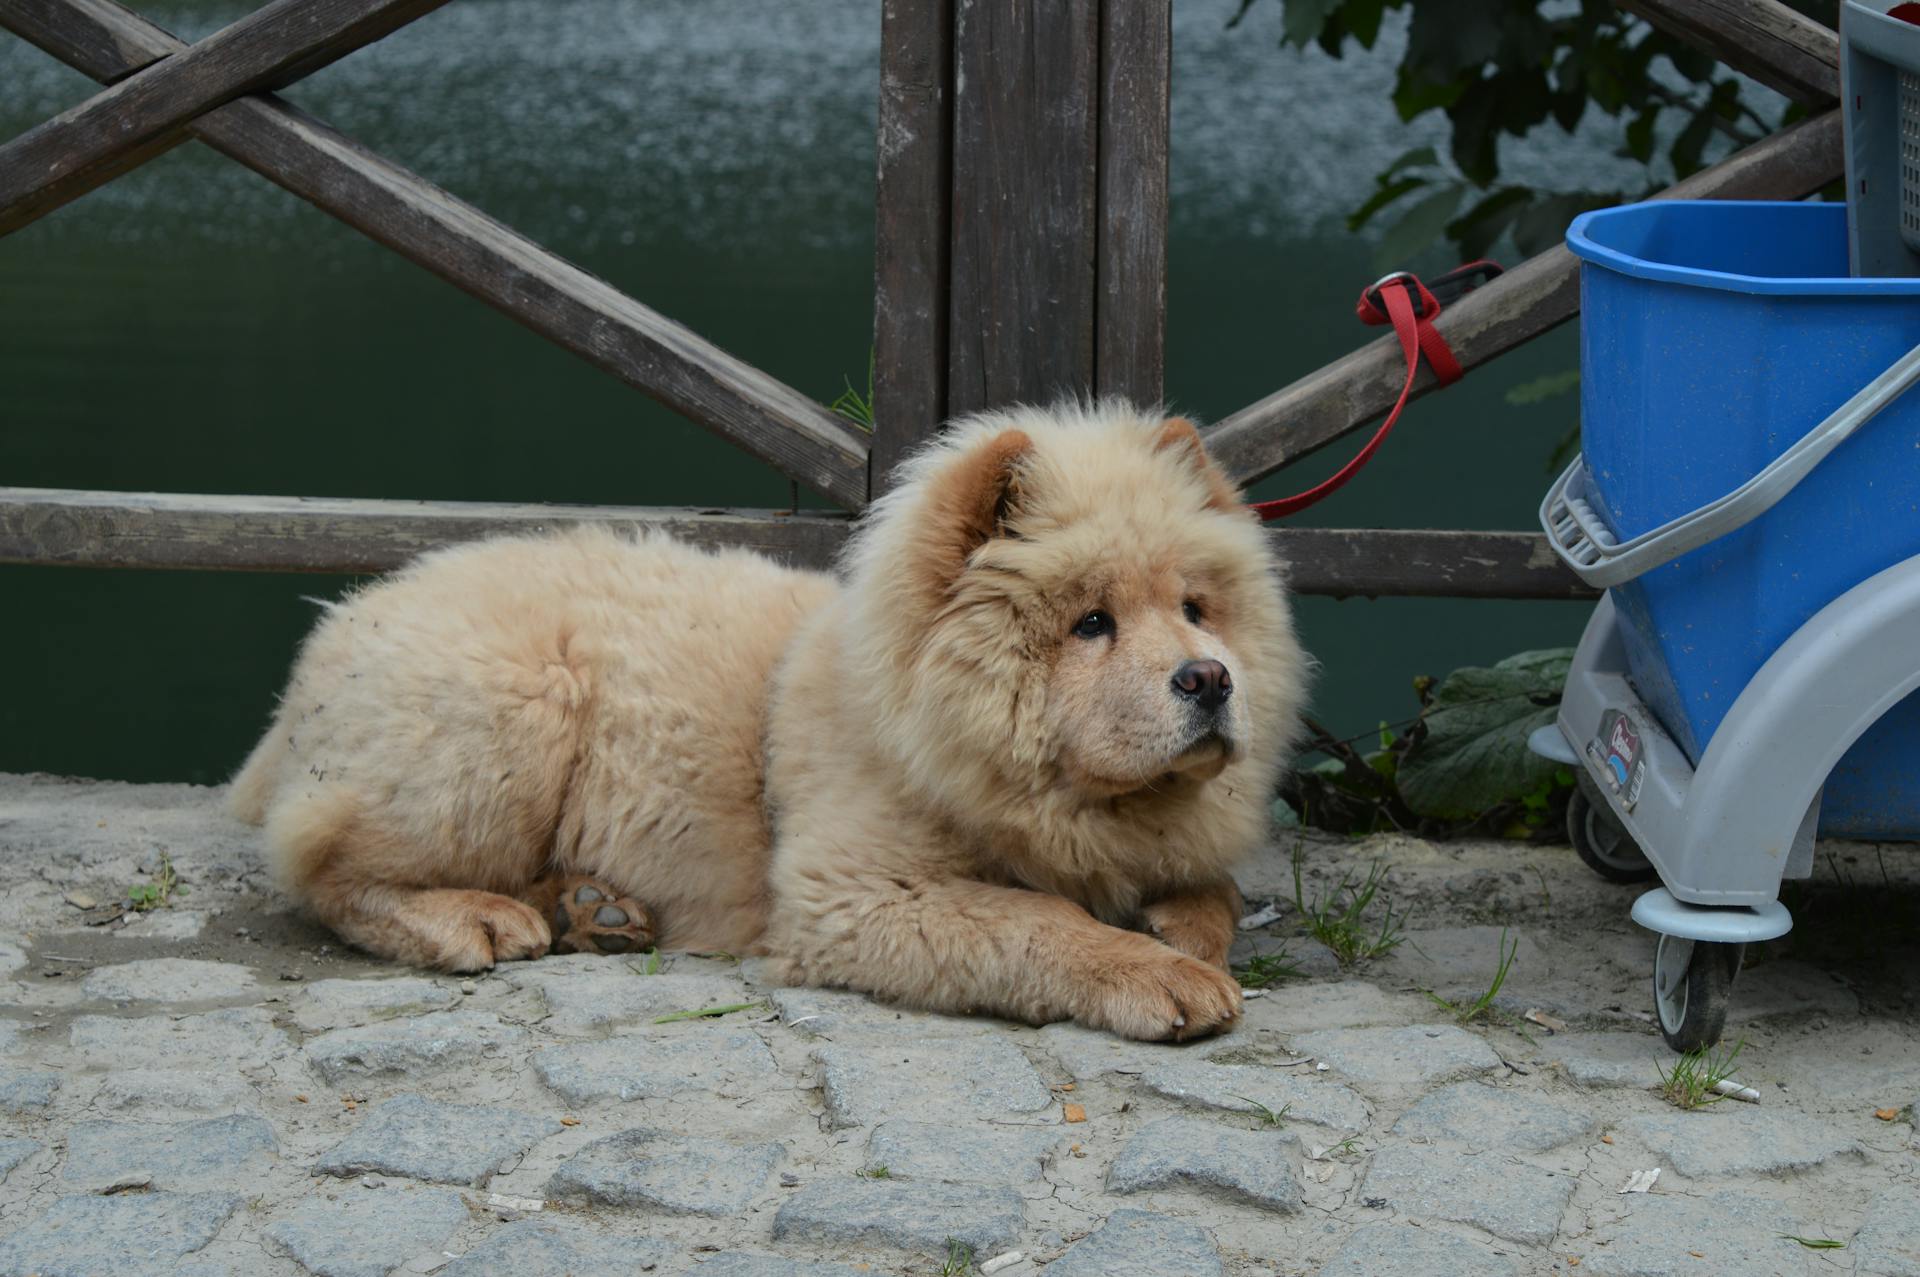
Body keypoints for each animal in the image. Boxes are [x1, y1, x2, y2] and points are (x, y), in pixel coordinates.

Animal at [228, 403, 1305, 1044]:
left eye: (1197, 609)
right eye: (1091, 623)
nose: (1210, 678)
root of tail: (348, 613)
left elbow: (1208, 891)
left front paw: (1180, 929)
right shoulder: (855, 891)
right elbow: (1036, 920)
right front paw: (1159, 974)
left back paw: (593, 908)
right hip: (516, 712)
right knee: (329, 867)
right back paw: (479, 917)